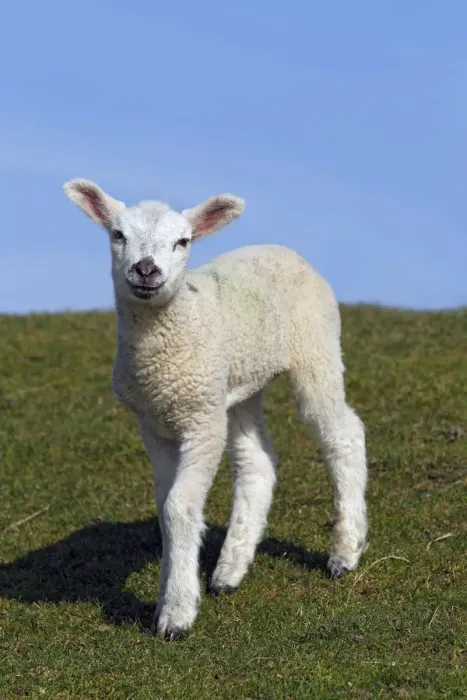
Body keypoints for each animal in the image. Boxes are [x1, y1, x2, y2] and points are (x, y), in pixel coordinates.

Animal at [63, 179, 368, 640]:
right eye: (118, 235)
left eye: (183, 241)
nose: (147, 269)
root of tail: (285, 249)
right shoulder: (154, 423)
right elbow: (165, 510)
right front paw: (171, 591)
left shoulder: (201, 418)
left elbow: (179, 507)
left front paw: (176, 614)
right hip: (240, 382)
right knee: (258, 460)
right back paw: (229, 570)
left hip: (316, 347)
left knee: (343, 434)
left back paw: (344, 554)